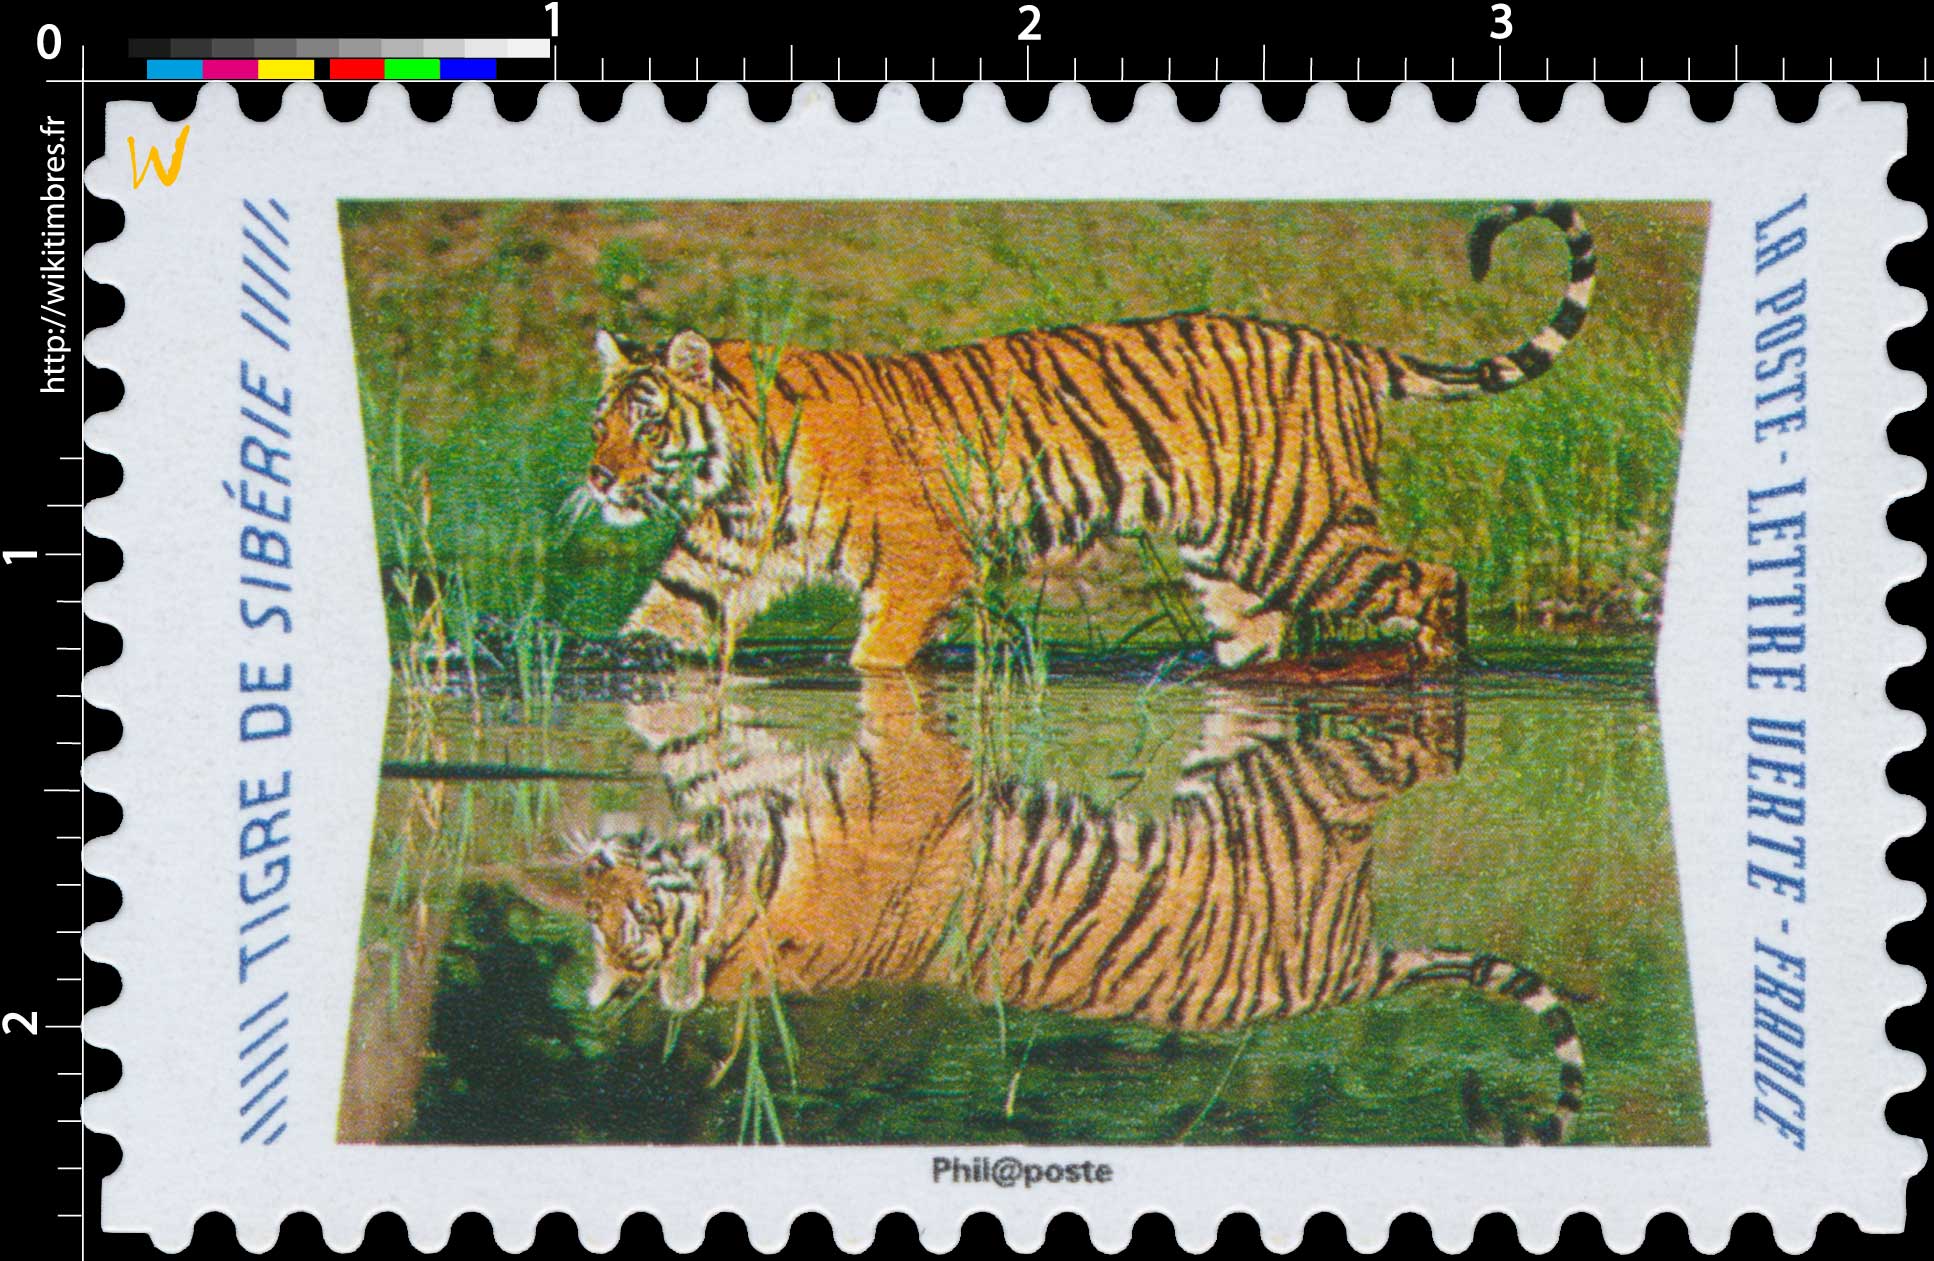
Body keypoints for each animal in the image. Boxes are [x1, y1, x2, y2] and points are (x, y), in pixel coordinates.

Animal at [570, 201, 1596, 672]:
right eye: (601, 420)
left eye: (648, 421)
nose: (601, 477)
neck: (737, 479)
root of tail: (1340, 344)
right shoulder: (707, 570)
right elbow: (651, 629)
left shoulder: (922, 562)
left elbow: (877, 663)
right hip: (1234, 564)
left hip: (1302, 534)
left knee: (1434, 581)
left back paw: (1433, 670)